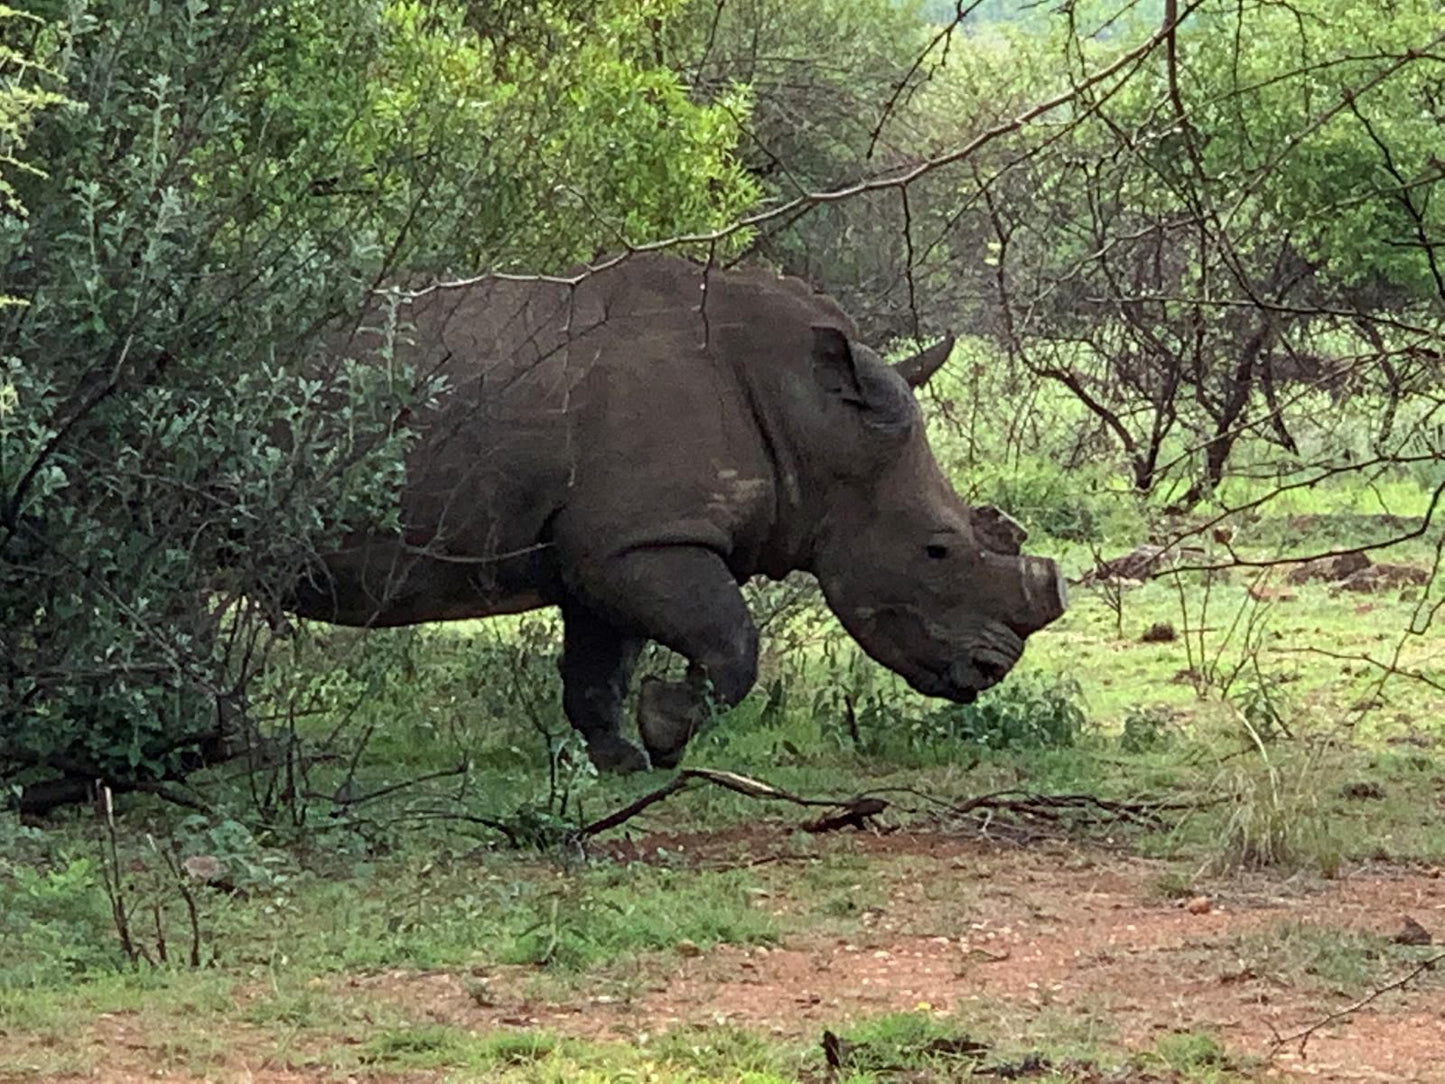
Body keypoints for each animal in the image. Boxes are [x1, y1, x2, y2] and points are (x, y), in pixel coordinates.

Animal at [290, 257, 1063, 774]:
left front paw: (622, 757)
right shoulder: (642, 542)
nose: (989, 669)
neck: (809, 420)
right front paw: (664, 728)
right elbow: (732, 640)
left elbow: (600, 663)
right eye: (936, 550)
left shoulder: (612, 545)